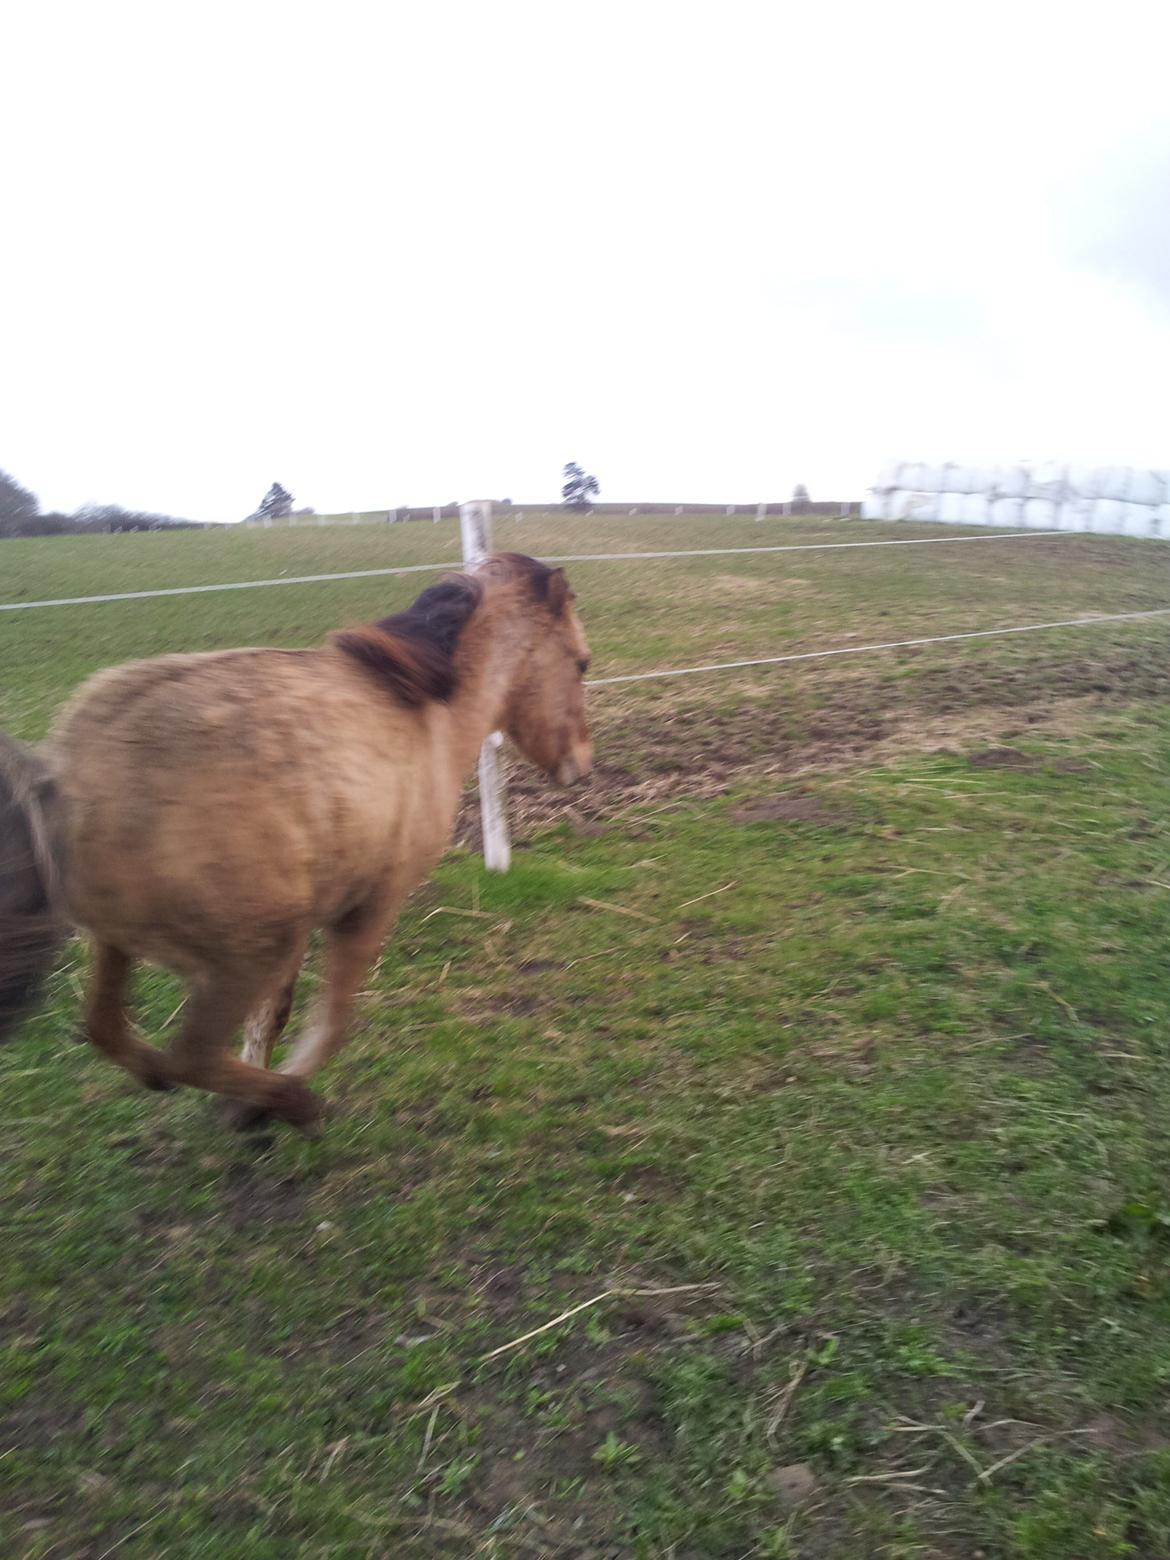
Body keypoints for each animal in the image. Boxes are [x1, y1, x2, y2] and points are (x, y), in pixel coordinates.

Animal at [0, 558, 589, 1135]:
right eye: (582, 663)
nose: (581, 766)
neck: (425, 716)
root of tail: (63, 780)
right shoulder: (367, 910)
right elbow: (331, 1022)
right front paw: (268, 1098)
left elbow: (274, 1016)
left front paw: (248, 1098)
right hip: (244, 958)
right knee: (189, 1055)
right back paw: (288, 1101)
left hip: (119, 944)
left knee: (107, 1029)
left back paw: (174, 1078)